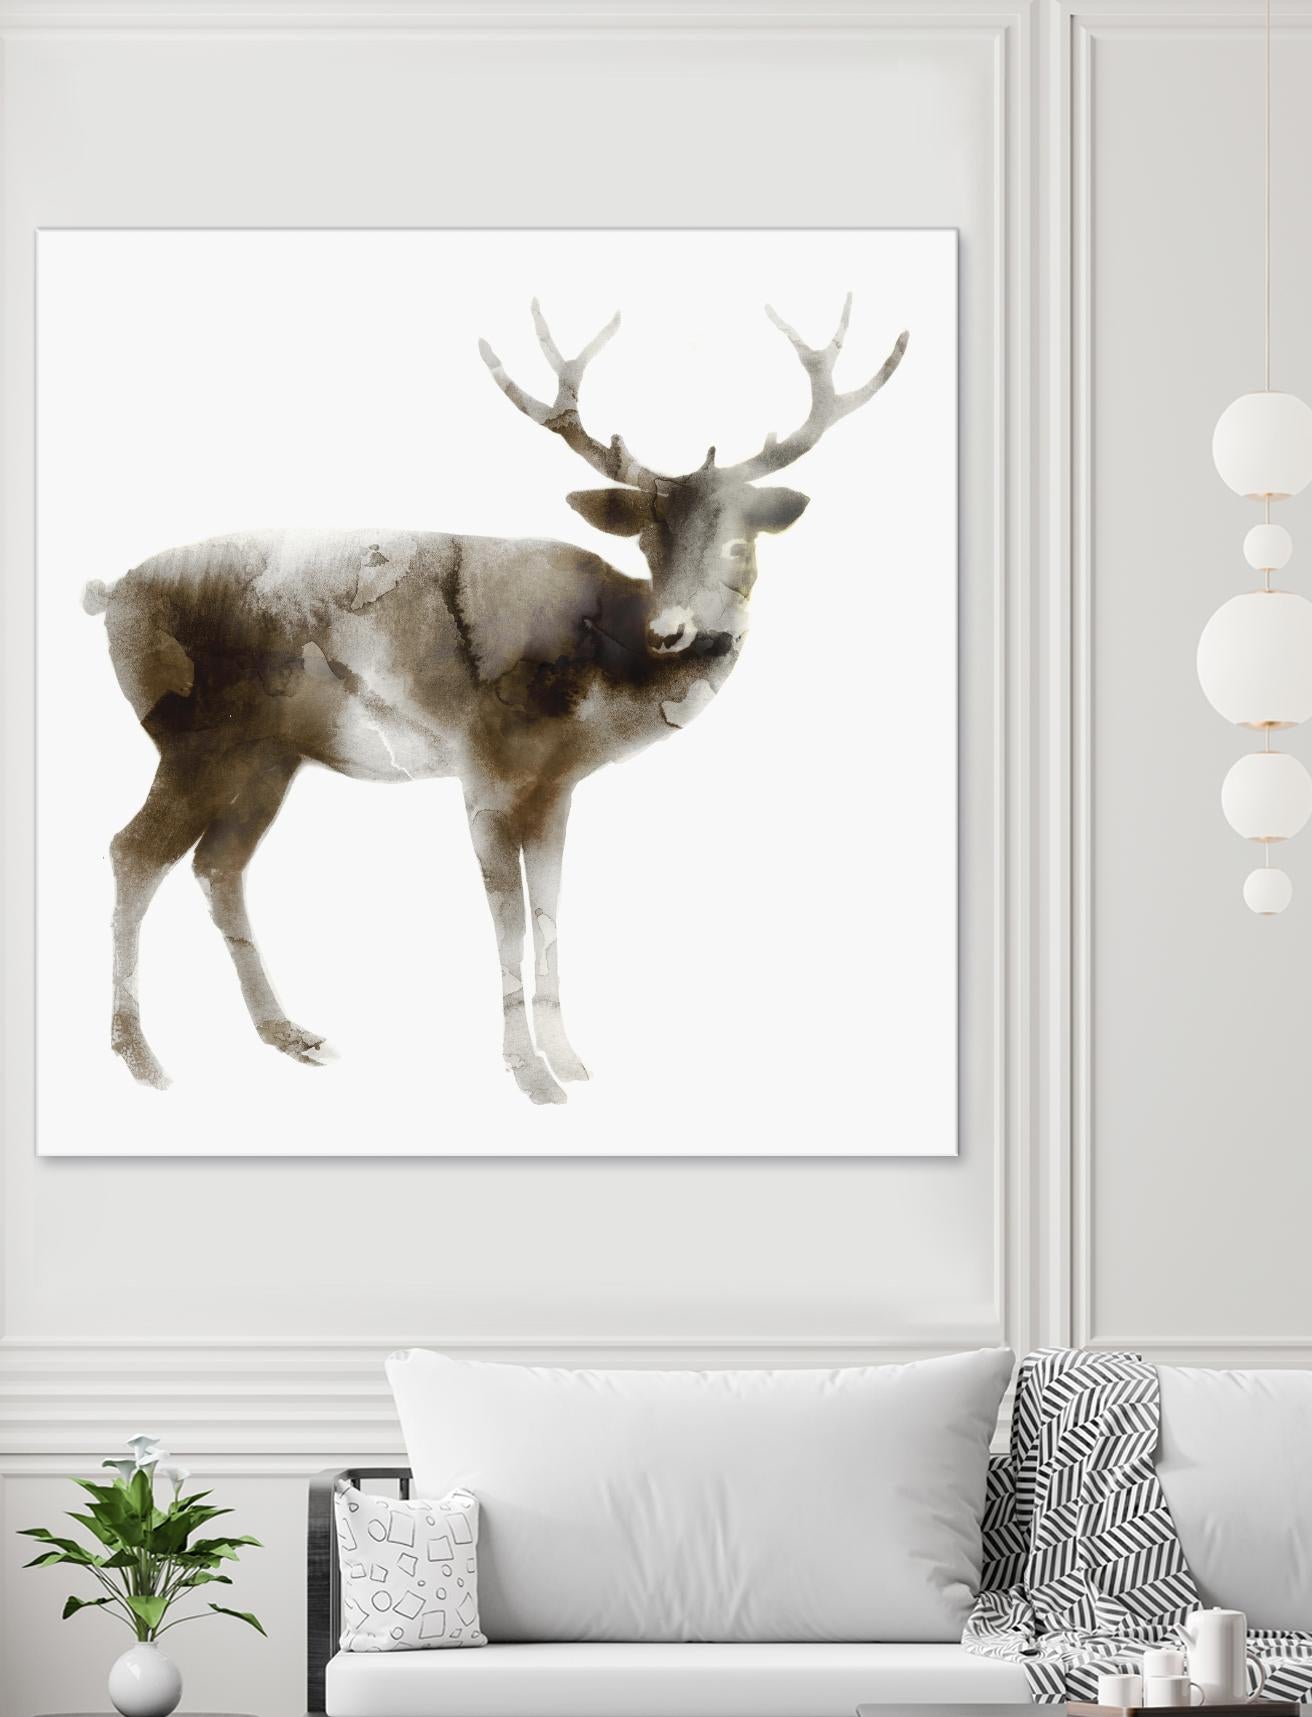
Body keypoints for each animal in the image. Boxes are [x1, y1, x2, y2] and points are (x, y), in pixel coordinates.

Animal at [86, 296, 908, 1105]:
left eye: (741, 542)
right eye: (647, 540)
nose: (672, 631)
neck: (597, 686)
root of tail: (109, 594)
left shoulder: (556, 788)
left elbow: (549, 911)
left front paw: (569, 1059)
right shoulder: (483, 770)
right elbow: (507, 918)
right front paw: (529, 1074)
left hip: (267, 757)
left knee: (218, 865)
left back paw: (288, 1033)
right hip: (192, 738)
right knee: (133, 851)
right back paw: (140, 1056)